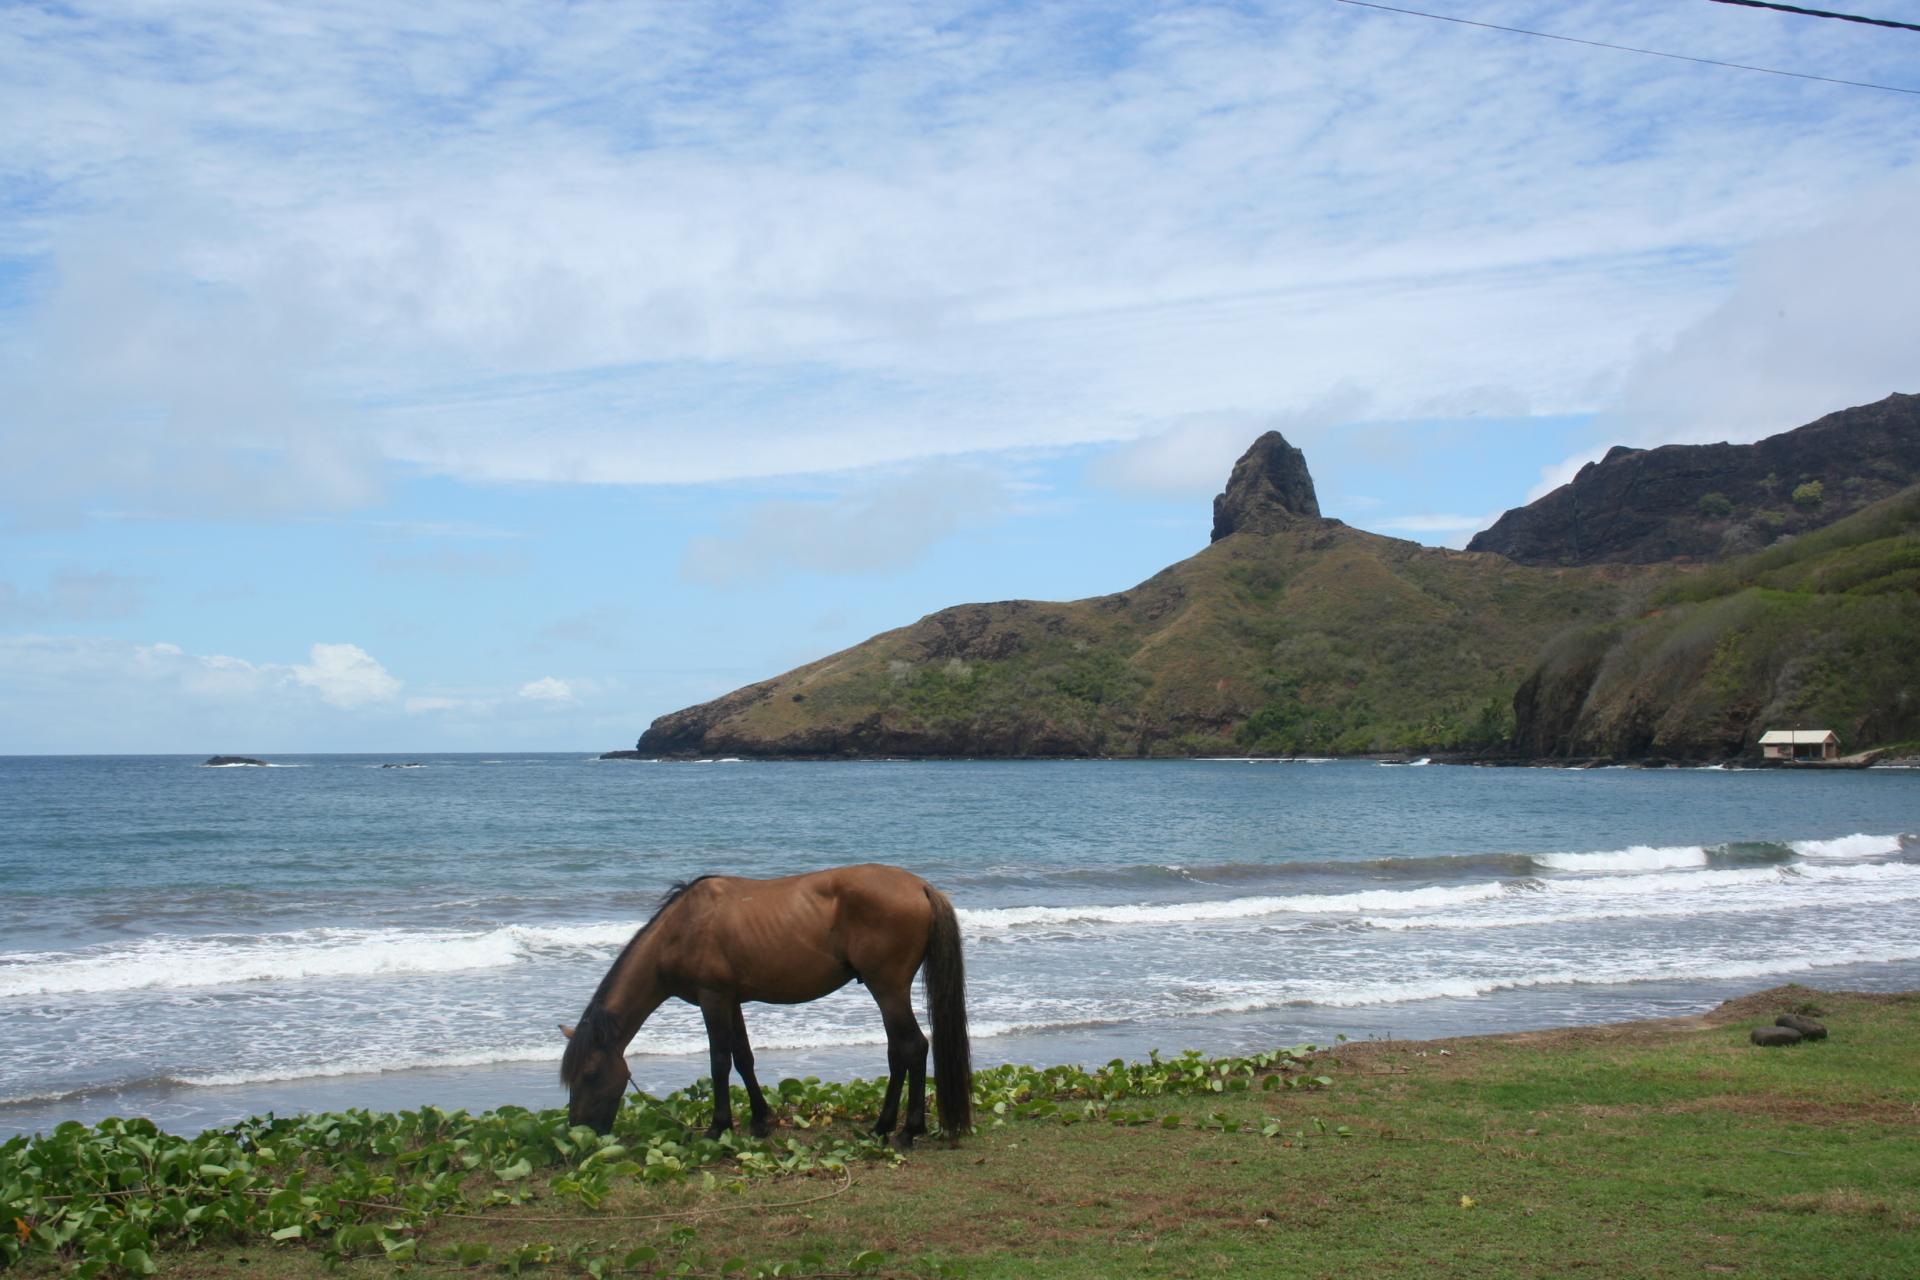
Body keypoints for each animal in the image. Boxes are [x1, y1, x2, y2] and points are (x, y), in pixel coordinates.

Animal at [560, 863, 972, 1149]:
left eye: (590, 1074)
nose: (578, 1132)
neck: (682, 929)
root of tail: (920, 886)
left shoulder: (713, 1000)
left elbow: (719, 1062)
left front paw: (717, 1127)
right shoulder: (731, 1001)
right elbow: (744, 1058)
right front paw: (761, 1121)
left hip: (887, 988)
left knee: (911, 1048)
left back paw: (905, 1131)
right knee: (900, 1052)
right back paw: (886, 1127)